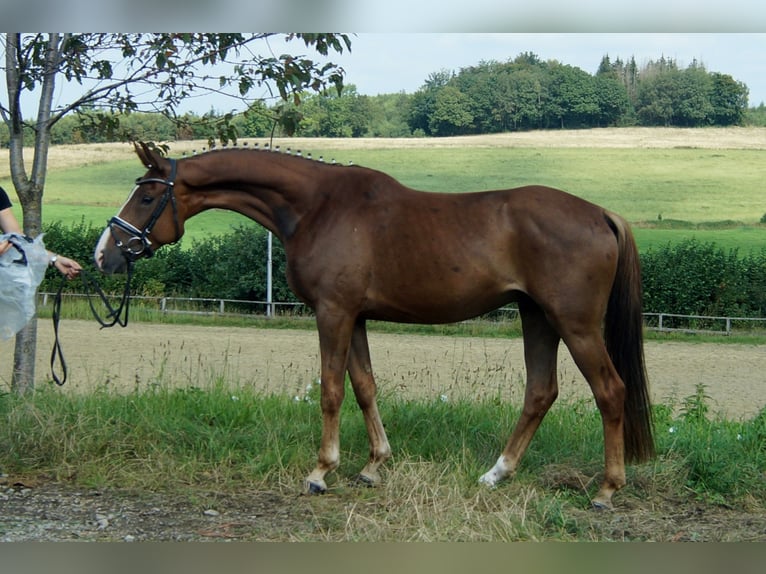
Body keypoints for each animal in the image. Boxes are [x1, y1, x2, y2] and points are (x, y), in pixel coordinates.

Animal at [96, 142, 656, 510]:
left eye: (146, 198)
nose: (104, 254)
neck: (317, 207)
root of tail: (600, 214)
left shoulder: (333, 313)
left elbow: (330, 390)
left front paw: (321, 472)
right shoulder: (356, 316)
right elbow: (364, 387)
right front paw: (373, 465)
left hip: (574, 324)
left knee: (610, 391)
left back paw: (606, 489)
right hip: (536, 317)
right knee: (540, 392)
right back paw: (496, 473)